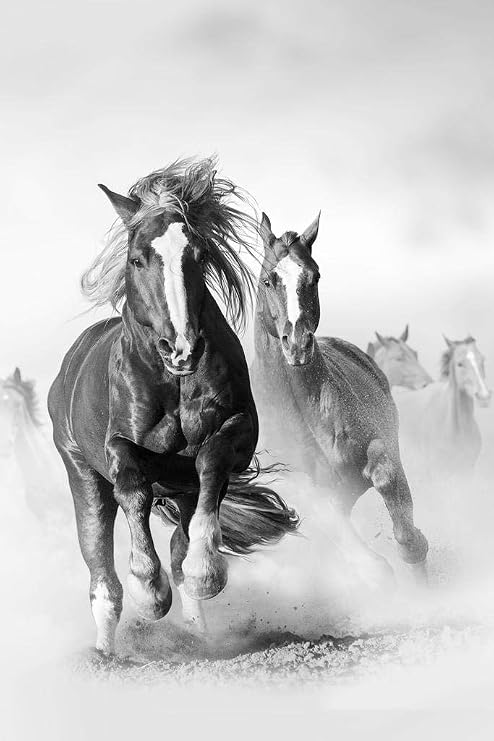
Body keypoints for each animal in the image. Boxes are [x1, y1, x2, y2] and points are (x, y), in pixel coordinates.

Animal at [48, 157, 298, 655]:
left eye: (198, 256)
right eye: (136, 258)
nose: (181, 348)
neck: (174, 383)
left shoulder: (237, 431)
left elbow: (211, 465)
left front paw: (207, 572)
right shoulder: (118, 447)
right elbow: (132, 487)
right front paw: (149, 592)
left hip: (179, 490)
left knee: (181, 542)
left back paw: (199, 635)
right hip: (80, 473)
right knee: (101, 573)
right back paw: (107, 652)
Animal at [251, 212, 428, 578]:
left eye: (314, 276)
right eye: (268, 280)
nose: (297, 344)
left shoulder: (380, 447)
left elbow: (387, 478)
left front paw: (413, 548)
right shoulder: (315, 496)